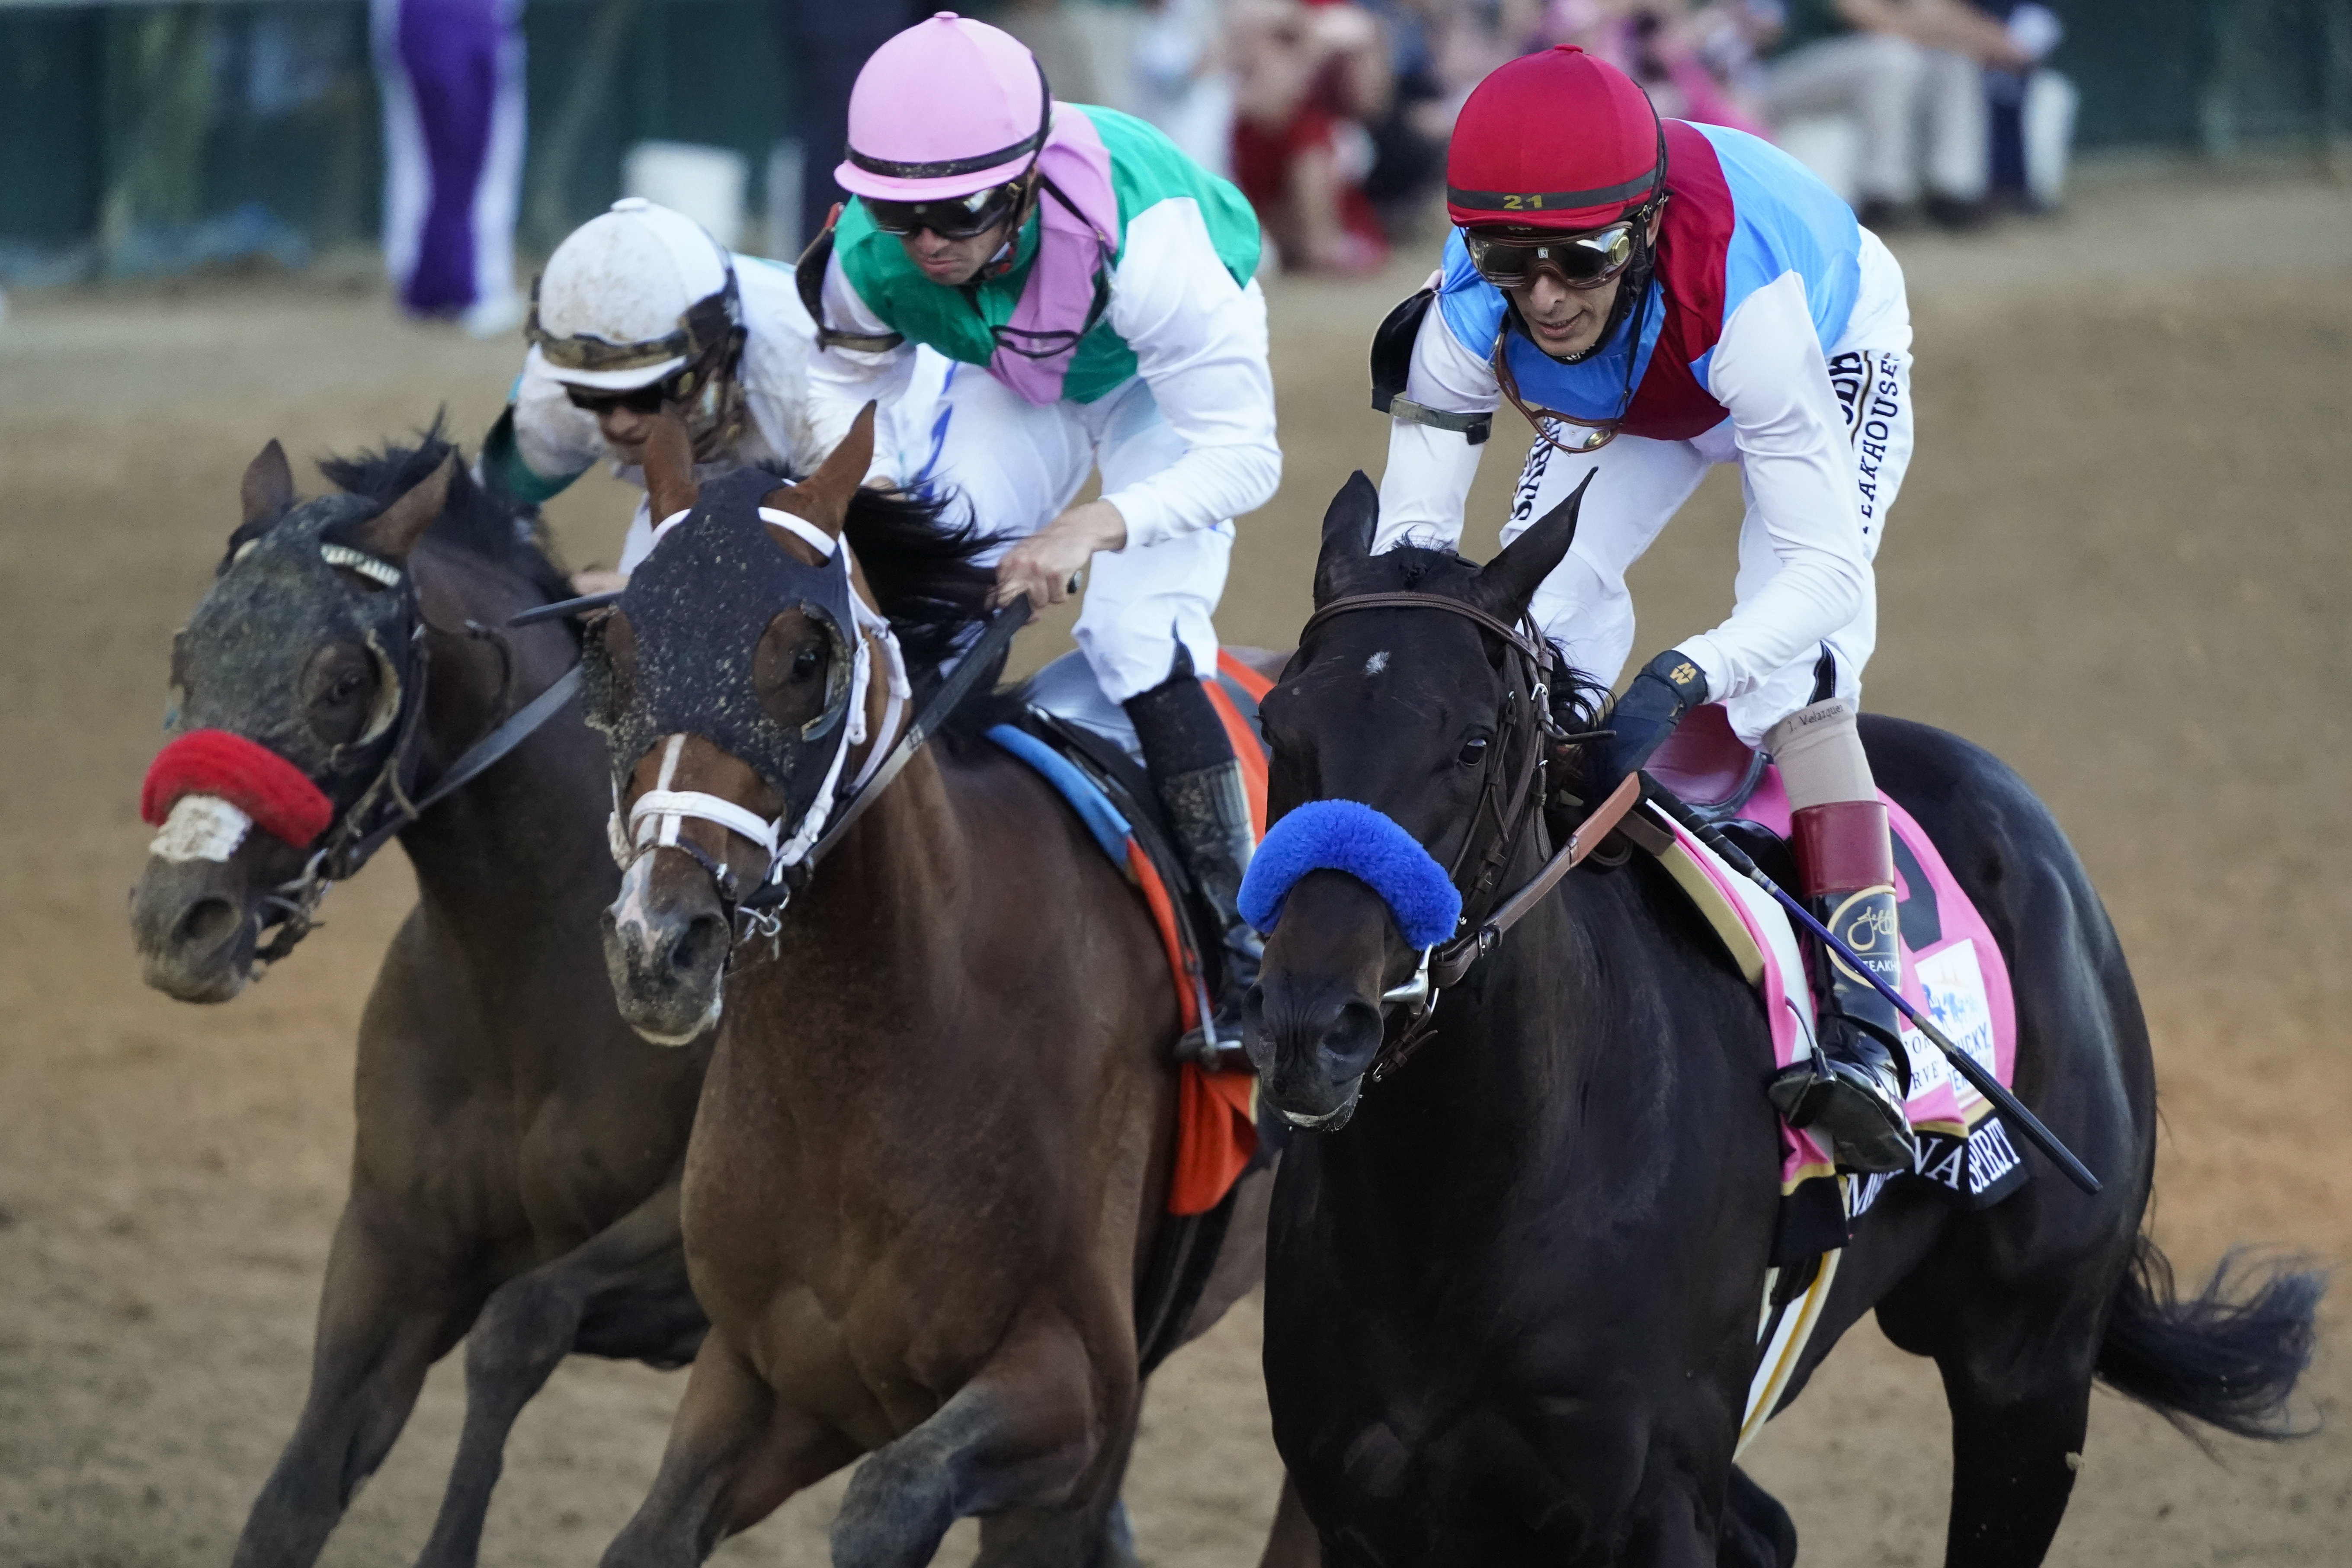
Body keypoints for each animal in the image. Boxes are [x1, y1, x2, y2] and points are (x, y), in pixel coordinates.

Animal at [126, 435, 705, 1568]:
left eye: (345, 678)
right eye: (188, 650)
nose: (179, 919)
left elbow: (521, 1324)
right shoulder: (393, 1250)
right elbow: (291, 1503)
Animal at [571, 416, 1307, 1568]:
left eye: (806, 656)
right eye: (619, 647)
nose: (658, 944)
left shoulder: (1069, 1380)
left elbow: (890, 1499)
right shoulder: (769, 1373)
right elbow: (650, 1537)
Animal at [1242, 470, 2323, 1568]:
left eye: (1469, 742)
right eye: (1279, 727)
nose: (1311, 1022)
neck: (1467, 1208)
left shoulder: (1656, 1501)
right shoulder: (1366, 1505)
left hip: (2029, 1371)